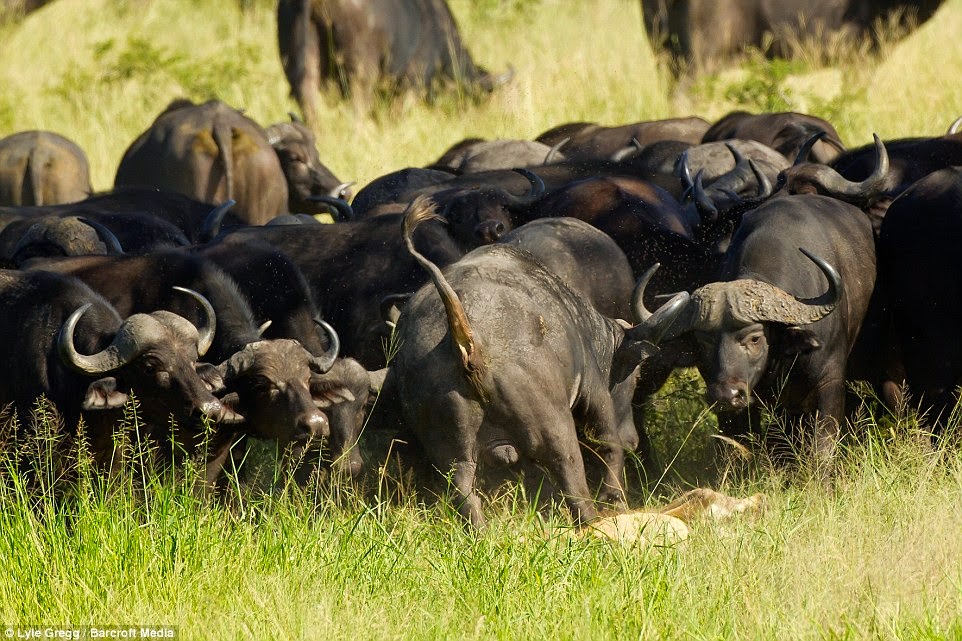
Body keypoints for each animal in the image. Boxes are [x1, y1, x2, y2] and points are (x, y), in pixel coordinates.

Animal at [274, 0, 512, 122]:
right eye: (481, 99)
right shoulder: (411, 84)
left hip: (297, 63)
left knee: (309, 103)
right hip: (362, 71)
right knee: (358, 108)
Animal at [378, 198, 688, 528]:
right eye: (636, 374)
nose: (633, 437)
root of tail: (468, 343)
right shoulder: (595, 393)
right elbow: (607, 444)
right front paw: (614, 498)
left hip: (451, 453)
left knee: (464, 493)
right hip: (555, 426)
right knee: (572, 475)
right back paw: (591, 520)